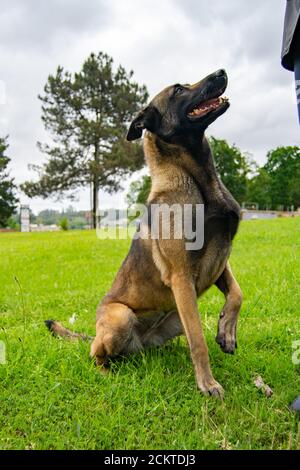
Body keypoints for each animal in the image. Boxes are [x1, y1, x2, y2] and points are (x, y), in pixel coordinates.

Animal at [47, 69, 244, 396]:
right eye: (178, 90)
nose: (221, 72)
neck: (196, 178)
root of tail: (137, 344)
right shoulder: (181, 275)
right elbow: (198, 340)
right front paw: (207, 383)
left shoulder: (221, 260)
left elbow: (237, 293)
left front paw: (226, 330)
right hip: (121, 317)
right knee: (94, 354)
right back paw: (106, 374)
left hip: (175, 318)